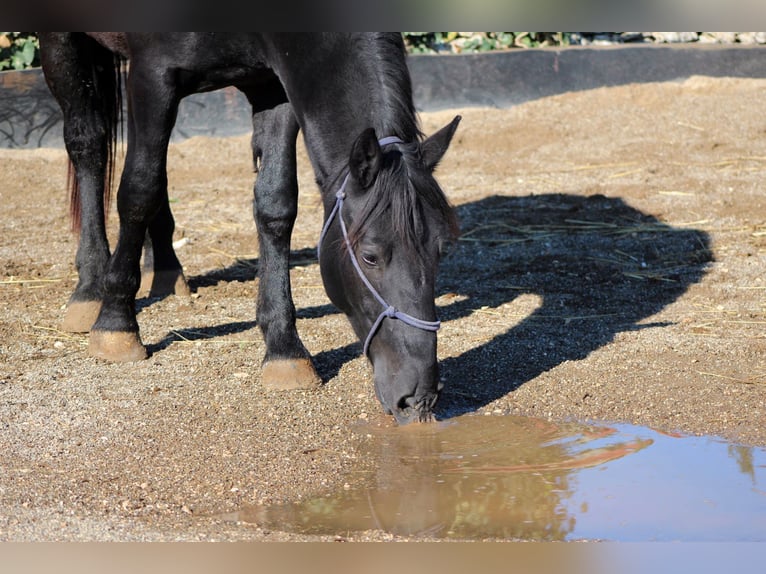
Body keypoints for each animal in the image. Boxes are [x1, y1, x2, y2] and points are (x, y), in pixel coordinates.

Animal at [38, 33, 460, 424]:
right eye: (370, 256)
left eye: (441, 250)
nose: (419, 397)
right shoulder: (152, 74)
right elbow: (139, 190)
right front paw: (116, 324)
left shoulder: (272, 87)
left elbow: (276, 203)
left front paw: (284, 349)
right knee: (89, 146)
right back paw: (91, 288)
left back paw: (166, 268)